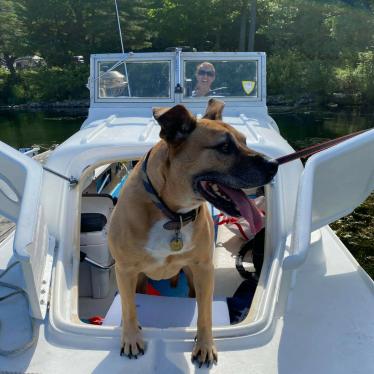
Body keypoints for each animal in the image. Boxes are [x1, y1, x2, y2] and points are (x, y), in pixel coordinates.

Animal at [108, 98, 278, 366]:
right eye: (225, 147)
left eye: (245, 141)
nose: (274, 165)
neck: (170, 213)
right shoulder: (125, 270)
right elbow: (129, 308)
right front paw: (131, 338)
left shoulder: (204, 268)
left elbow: (205, 312)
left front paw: (205, 345)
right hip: (140, 277)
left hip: (191, 274)